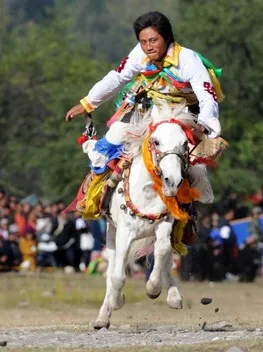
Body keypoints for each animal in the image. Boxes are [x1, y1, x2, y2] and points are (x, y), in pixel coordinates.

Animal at [93, 103, 198, 328]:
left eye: (185, 143)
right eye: (156, 141)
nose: (172, 181)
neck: (148, 191)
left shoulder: (165, 224)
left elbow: (162, 251)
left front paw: (153, 289)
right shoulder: (124, 232)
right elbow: (117, 275)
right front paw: (116, 301)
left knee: (166, 258)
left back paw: (174, 297)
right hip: (112, 231)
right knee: (112, 268)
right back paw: (102, 317)